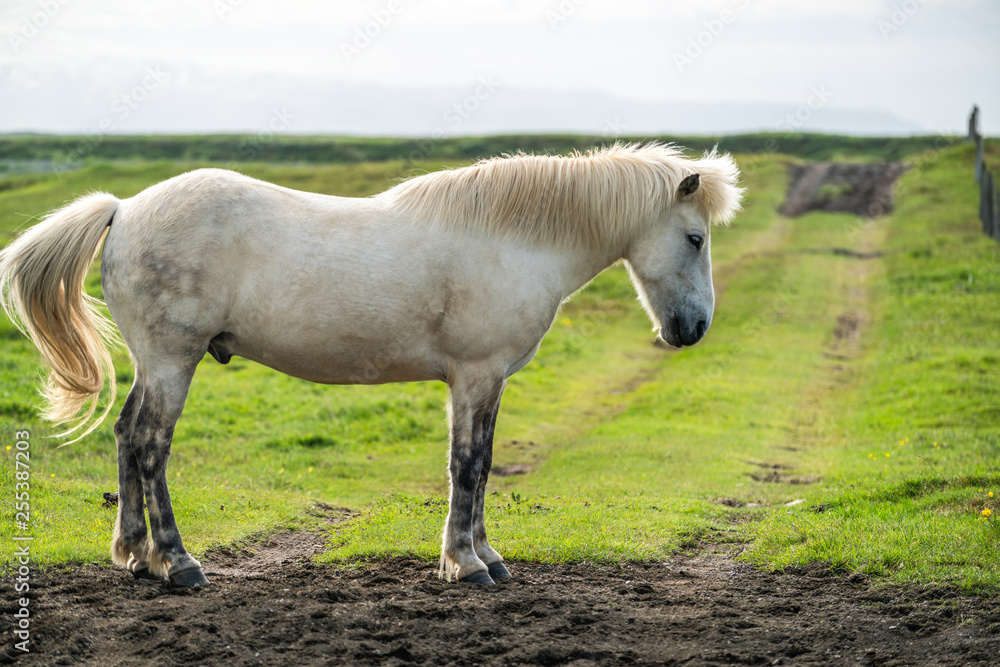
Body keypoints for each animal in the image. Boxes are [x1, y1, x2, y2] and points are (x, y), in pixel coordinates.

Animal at [0, 144, 744, 588]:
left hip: (155, 364)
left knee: (128, 436)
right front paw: (465, 563)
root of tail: (123, 210)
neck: (511, 240)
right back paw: (178, 562)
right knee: (152, 444)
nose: (693, 329)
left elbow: (482, 463)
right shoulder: (474, 376)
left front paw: (486, 556)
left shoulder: (487, 382)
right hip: (172, 360)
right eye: (694, 237)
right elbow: (467, 465)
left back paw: (134, 555)